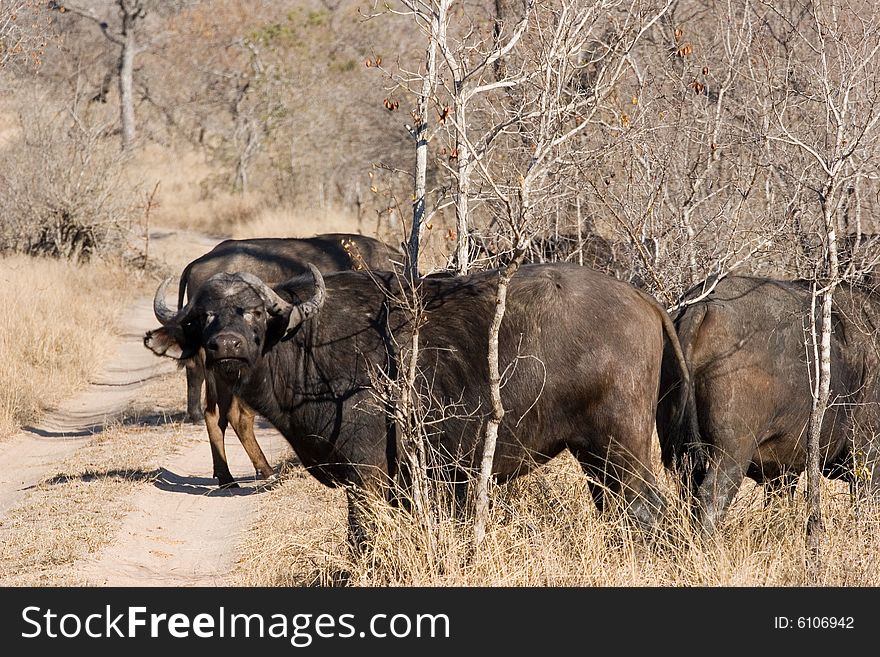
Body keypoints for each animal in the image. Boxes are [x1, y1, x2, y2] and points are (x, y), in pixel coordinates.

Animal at [148, 260, 700, 540]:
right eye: (204, 317)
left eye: (256, 312)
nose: (227, 346)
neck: (304, 343)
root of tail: (644, 300)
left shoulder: (366, 474)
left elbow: (362, 535)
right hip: (593, 455)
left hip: (622, 448)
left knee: (647, 509)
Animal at [656, 274, 880, 532]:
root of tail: (701, 304)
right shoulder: (868, 456)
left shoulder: (783, 470)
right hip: (731, 453)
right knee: (711, 496)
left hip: (683, 454)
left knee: (688, 492)